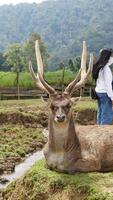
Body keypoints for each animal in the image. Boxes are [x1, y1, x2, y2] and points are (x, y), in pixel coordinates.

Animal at [29, 39, 113, 173]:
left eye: (69, 105)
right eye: (51, 106)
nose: (60, 117)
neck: (58, 154)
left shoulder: (94, 160)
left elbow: (70, 166)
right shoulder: (45, 161)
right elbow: (48, 165)